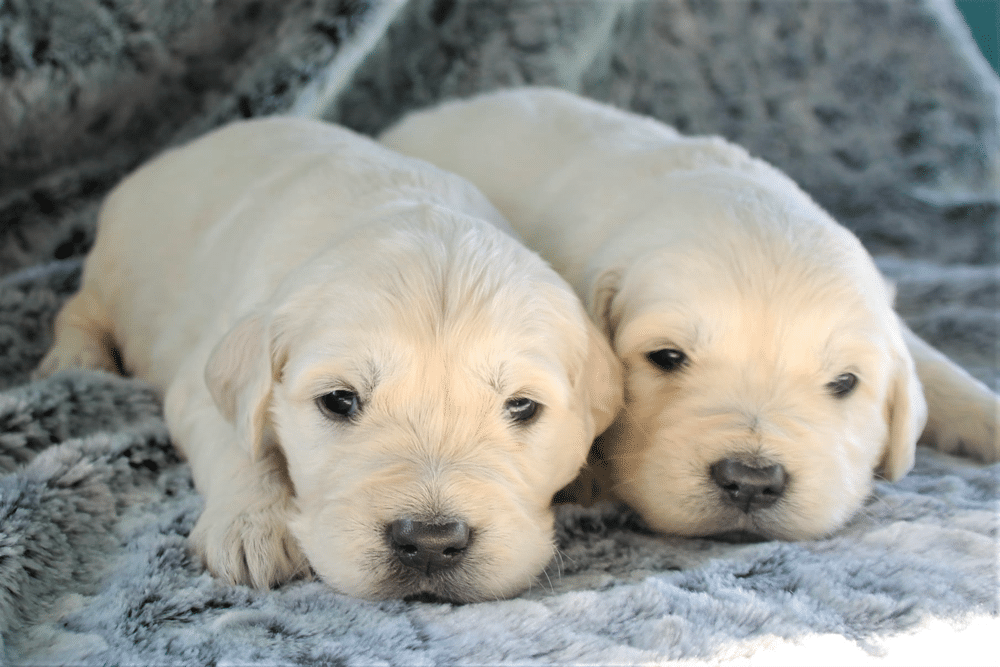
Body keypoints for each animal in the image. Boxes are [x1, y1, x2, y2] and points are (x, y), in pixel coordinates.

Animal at [35, 117, 620, 604]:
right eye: (339, 401)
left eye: (522, 407)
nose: (431, 542)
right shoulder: (205, 379)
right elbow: (238, 446)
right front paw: (251, 527)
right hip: (113, 271)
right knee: (78, 308)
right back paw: (75, 359)